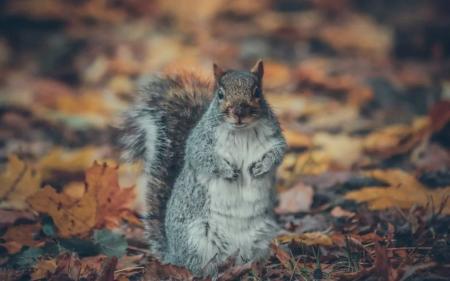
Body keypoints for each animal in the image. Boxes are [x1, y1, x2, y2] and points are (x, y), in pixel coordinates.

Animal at [119, 59, 286, 276]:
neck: (241, 132)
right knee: (199, 267)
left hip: (262, 238)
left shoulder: (274, 139)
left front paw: (262, 167)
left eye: (257, 92)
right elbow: (203, 158)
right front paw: (227, 171)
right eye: (220, 94)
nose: (239, 113)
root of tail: (174, 255)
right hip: (198, 240)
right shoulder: (199, 143)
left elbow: (278, 153)